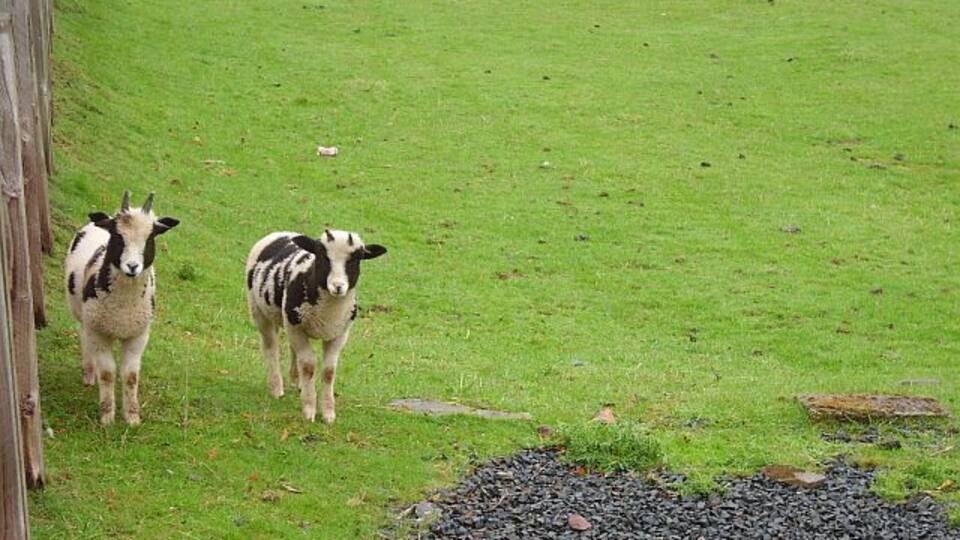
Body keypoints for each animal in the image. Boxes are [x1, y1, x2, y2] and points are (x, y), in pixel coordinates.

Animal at [64, 191, 179, 425]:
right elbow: (107, 373)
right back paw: (89, 375)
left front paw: (132, 417)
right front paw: (107, 416)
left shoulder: (138, 335)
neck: (122, 307)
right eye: (118, 237)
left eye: (150, 238)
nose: (132, 267)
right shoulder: (99, 332)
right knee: (84, 338)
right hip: (84, 317)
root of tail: (101, 220)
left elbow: (130, 376)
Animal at [245, 229, 387, 423]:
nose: (338, 287)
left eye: (356, 258)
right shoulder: (296, 327)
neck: (329, 310)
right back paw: (276, 388)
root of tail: (280, 232)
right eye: (323, 256)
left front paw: (328, 414)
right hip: (259, 311)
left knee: (292, 350)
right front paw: (309, 410)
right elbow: (308, 366)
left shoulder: (339, 334)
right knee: (271, 347)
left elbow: (328, 371)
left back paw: (296, 382)